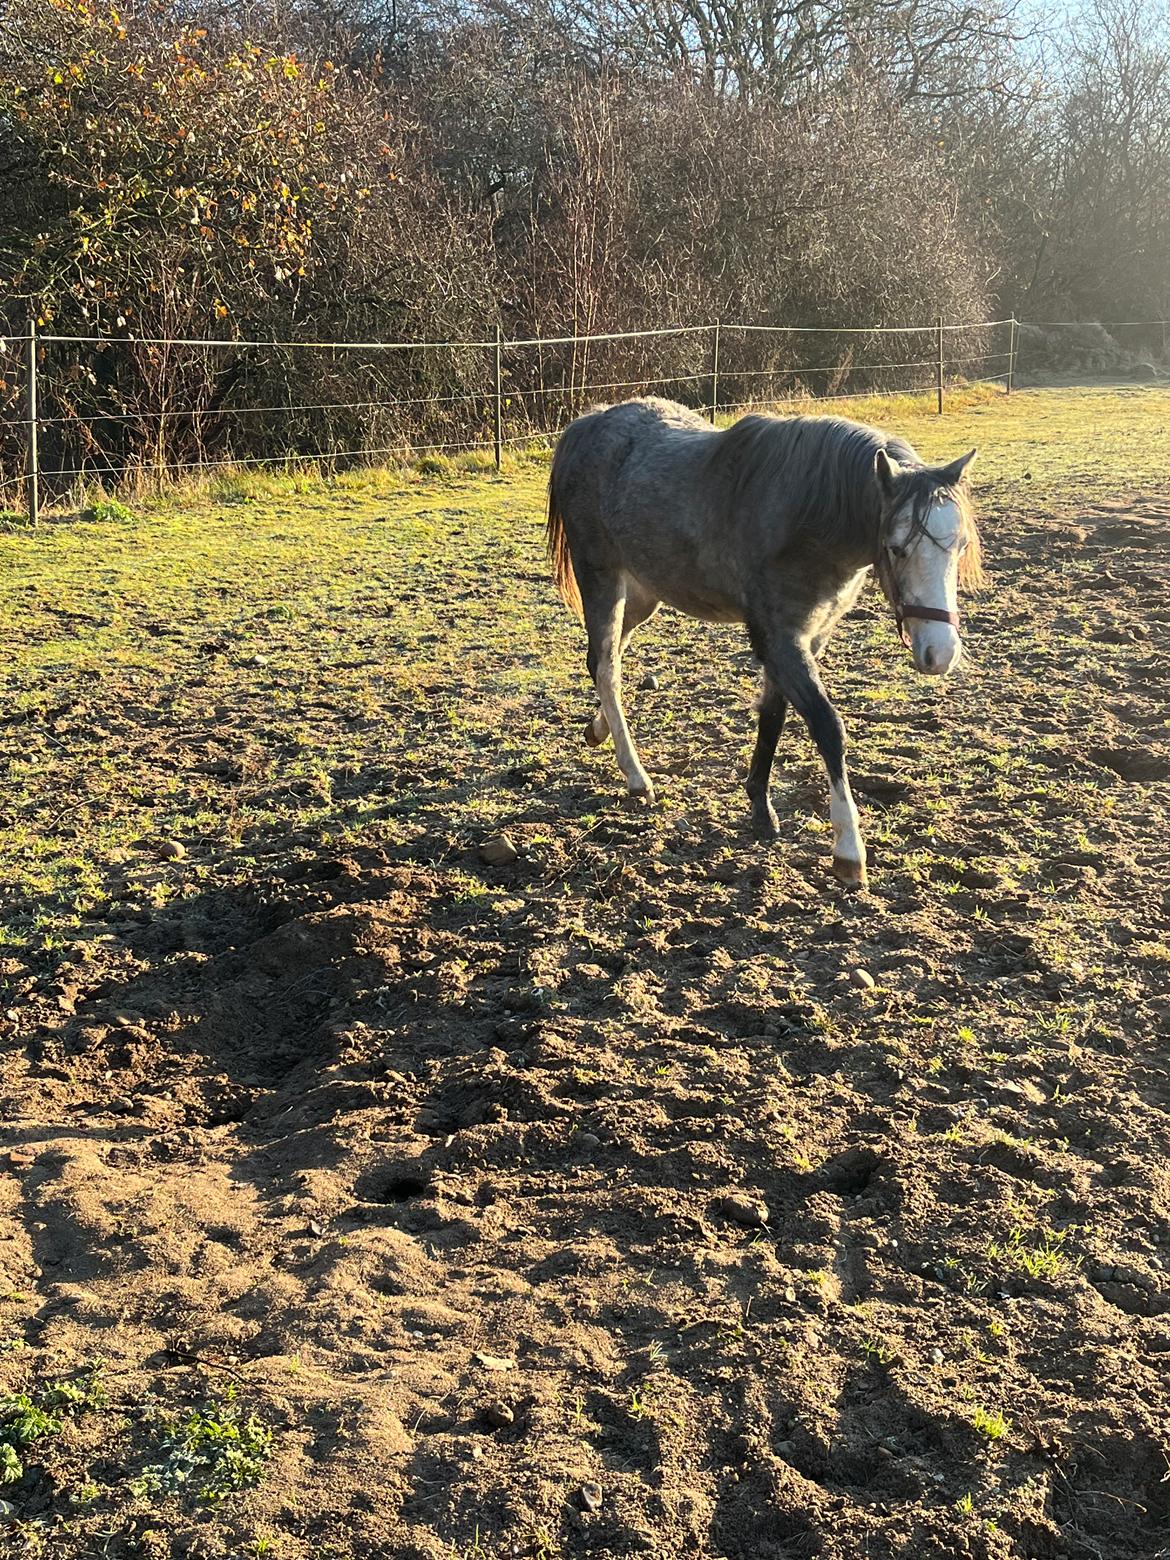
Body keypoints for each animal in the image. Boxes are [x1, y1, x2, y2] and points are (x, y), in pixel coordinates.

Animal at [545, 397, 982, 888]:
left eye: (961, 546)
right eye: (896, 548)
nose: (940, 653)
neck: (806, 518)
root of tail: (588, 423)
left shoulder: (807, 637)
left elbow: (774, 715)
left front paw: (759, 806)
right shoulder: (779, 636)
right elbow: (827, 726)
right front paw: (849, 851)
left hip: (643, 592)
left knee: (605, 659)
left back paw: (600, 730)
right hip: (601, 577)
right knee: (606, 667)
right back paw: (637, 777)